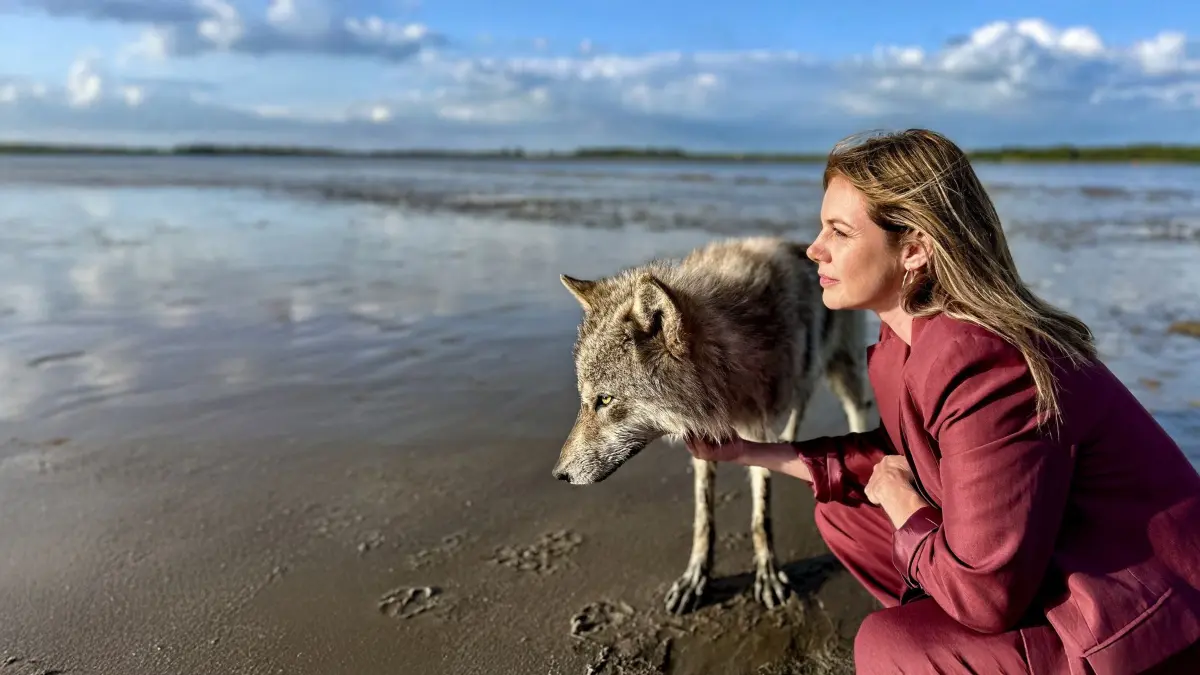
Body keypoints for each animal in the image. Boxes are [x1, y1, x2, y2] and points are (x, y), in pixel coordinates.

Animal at [551, 236, 874, 615]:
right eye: (586, 399)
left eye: (604, 400)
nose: (559, 474)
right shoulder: (707, 443)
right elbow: (704, 519)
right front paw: (696, 578)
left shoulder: (757, 431)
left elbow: (760, 516)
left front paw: (767, 574)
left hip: (843, 370)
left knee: (855, 409)